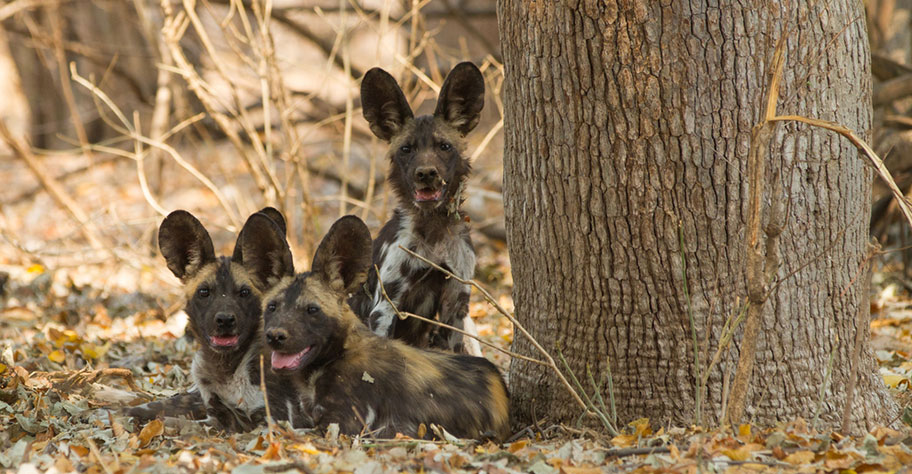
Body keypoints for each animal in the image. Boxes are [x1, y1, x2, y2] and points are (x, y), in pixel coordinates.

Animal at [126, 209, 308, 432]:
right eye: (204, 292)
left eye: (244, 293)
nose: (225, 320)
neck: (226, 370)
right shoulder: (215, 410)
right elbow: (162, 411)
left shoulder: (268, 421)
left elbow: (178, 422)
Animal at [260, 215, 510, 440]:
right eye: (272, 307)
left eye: (312, 309)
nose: (275, 336)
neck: (338, 353)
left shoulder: (342, 427)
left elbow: (280, 428)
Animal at [350, 62, 492, 352]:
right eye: (406, 149)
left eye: (445, 146)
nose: (426, 174)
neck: (434, 227)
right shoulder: (385, 308)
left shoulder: (456, 307)